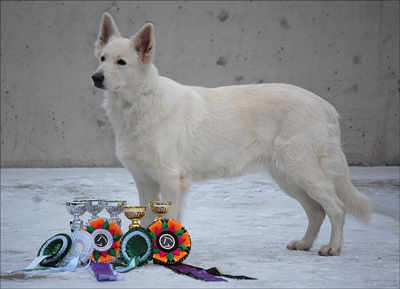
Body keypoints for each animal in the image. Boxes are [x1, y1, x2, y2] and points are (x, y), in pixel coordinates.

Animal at [93, 13, 372, 255]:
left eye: (121, 62)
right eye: (103, 58)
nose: (96, 77)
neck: (140, 101)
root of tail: (325, 105)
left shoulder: (171, 181)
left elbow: (167, 221)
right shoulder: (144, 181)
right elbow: (148, 220)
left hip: (303, 172)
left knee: (336, 208)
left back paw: (332, 247)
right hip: (288, 178)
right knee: (317, 211)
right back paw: (304, 244)